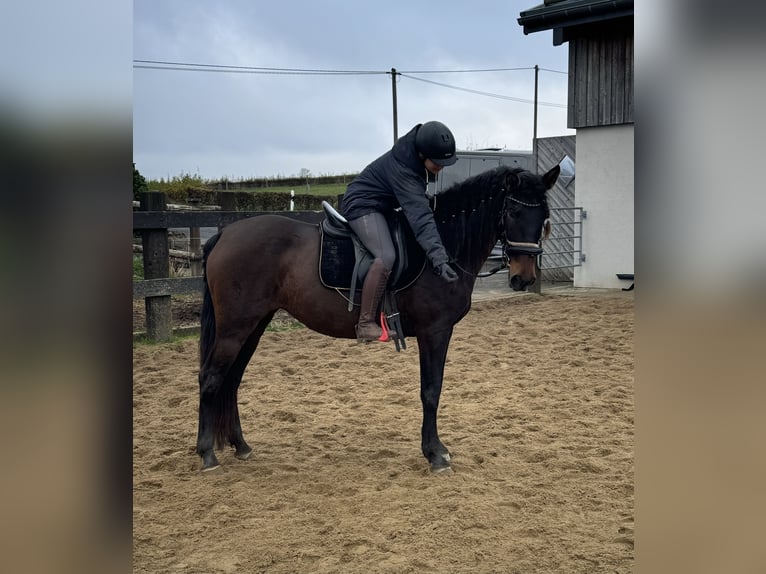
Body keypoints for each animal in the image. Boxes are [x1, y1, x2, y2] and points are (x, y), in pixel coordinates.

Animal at [195, 164, 560, 474]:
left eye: (543, 216)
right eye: (513, 212)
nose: (524, 278)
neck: (440, 248)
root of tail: (224, 235)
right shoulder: (435, 331)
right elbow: (431, 390)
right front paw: (435, 453)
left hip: (254, 325)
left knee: (232, 379)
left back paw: (240, 445)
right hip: (236, 327)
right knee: (211, 378)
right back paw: (207, 453)